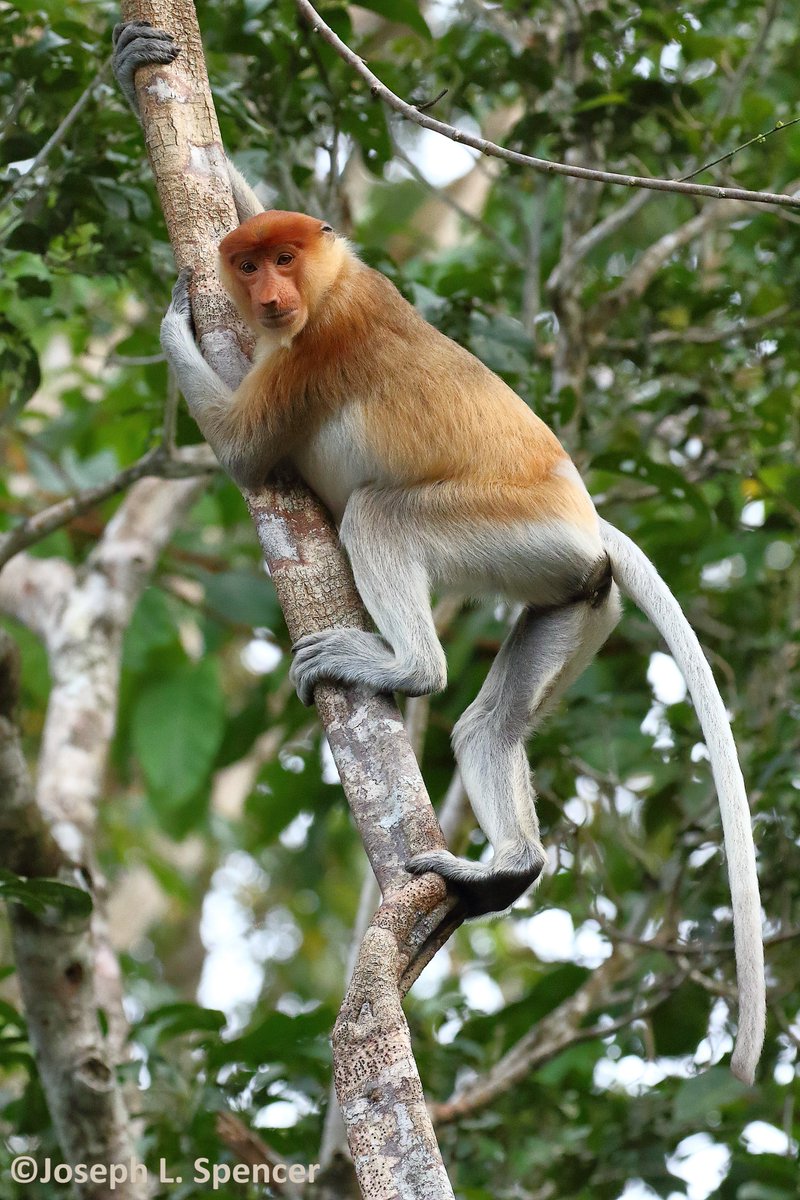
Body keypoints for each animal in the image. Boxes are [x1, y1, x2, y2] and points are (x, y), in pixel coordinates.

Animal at [110, 21, 762, 1089]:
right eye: (250, 264)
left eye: (284, 260)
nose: (271, 294)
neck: (332, 286)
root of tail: (588, 520)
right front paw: (133, 66)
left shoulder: (314, 349)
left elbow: (245, 450)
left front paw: (169, 316)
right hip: (578, 597)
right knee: (487, 728)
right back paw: (506, 867)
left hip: (508, 529)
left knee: (380, 517)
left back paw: (401, 668)